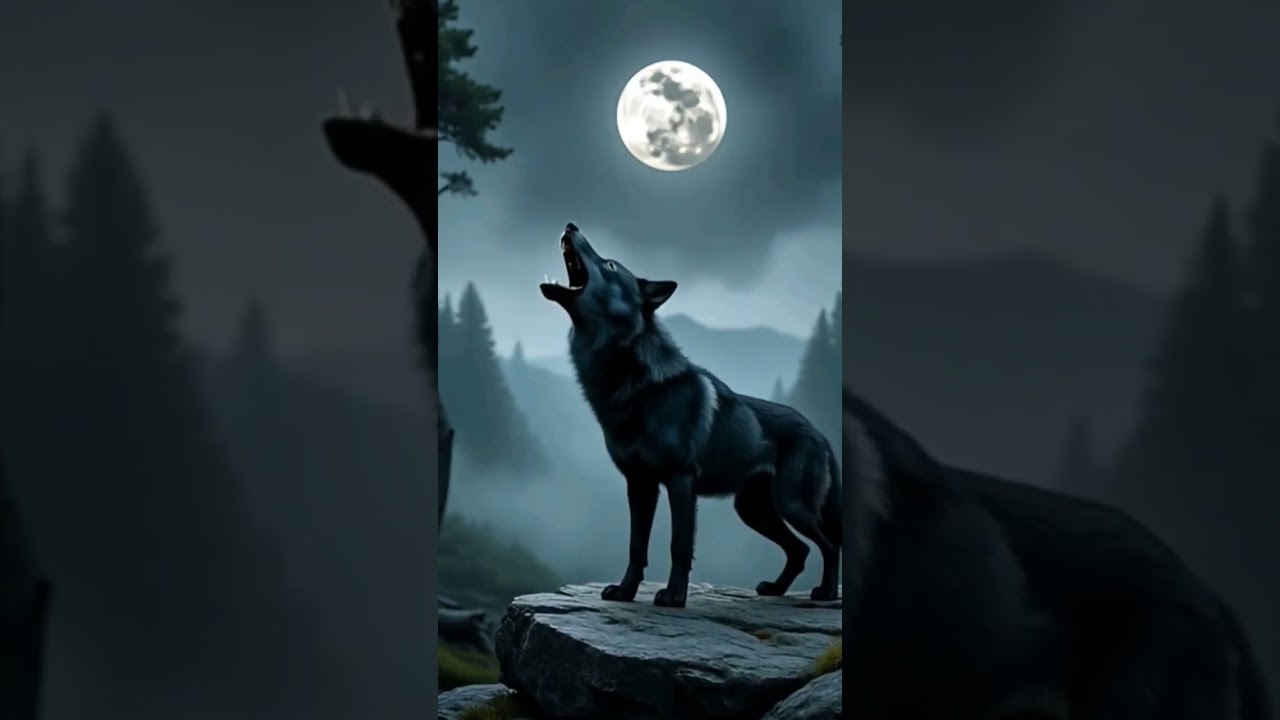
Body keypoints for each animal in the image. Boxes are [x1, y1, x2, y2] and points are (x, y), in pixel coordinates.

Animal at [540, 223, 841, 608]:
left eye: (609, 264)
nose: (571, 225)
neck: (632, 386)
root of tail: (820, 431)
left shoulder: (680, 482)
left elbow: (679, 546)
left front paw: (674, 596)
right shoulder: (639, 485)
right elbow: (636, 547)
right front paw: (625, 592)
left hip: (791, 506)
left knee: (829, 545)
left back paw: (826, 593)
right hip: (753, 511)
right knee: (800, 550)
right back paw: (775, 589)